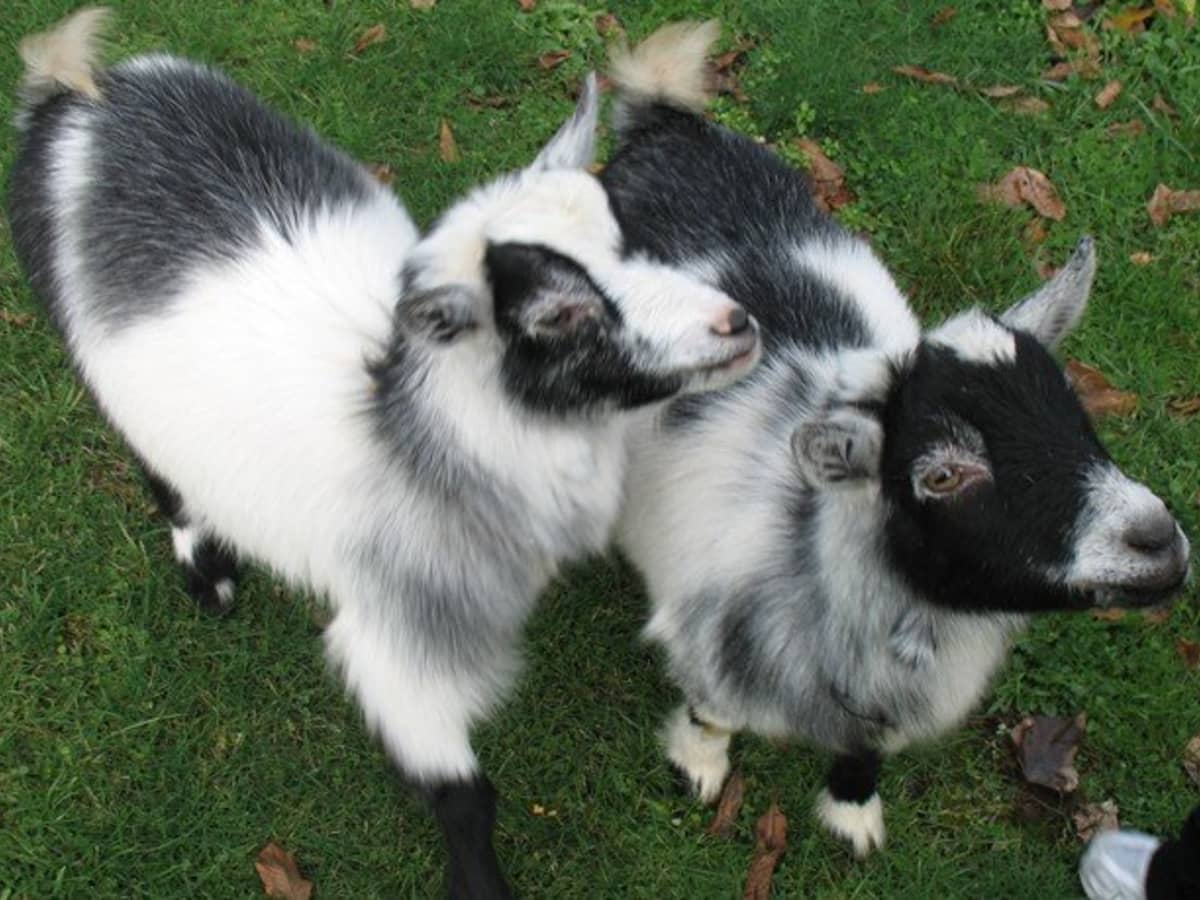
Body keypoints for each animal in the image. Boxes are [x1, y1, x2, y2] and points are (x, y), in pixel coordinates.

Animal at [6, 11, 761, 898]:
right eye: (557, 315)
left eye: (627, 236)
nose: (736, 324)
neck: (410, 423)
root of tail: (77, 93)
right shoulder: (394, 636)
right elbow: (463, 794)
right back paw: (207, 569)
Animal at [602, 21, 1191, 858]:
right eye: (939, 474)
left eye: (1077, 418)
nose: (1158, 541)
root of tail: (664, 123)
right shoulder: (712, 638)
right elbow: (712, 711)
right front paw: (698, 767)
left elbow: (865, 751)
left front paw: (852, 814)